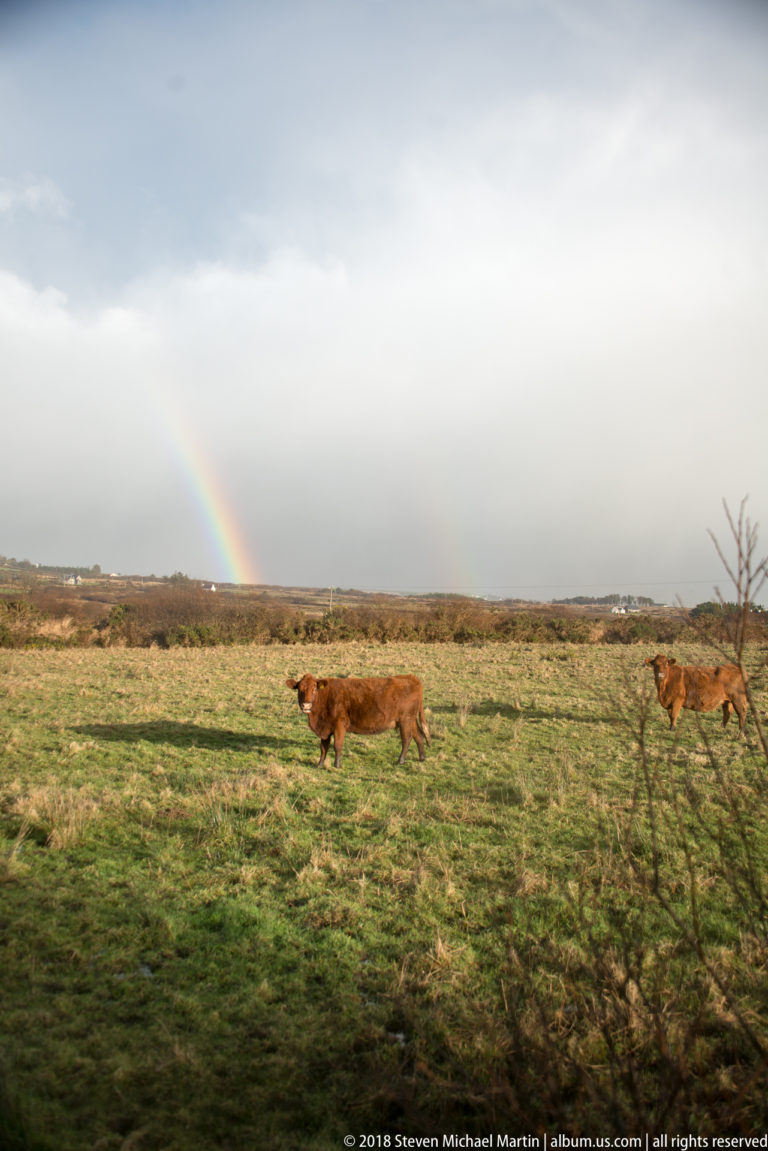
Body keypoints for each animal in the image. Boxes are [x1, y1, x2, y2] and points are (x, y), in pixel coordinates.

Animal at [285, 673, 430, 768]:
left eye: (314, 689)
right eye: (300, 690)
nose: (306, 705)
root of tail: (411, 677)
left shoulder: (339, 725)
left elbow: (337, 745)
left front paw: (337, 765)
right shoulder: (325, 728)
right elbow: (323, 747)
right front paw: (320, 764)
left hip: (405, 720)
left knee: (407, 739)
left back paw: (400, 761)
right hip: (410, 720)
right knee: (418, 736)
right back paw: (422, 757)